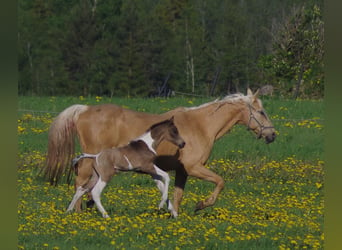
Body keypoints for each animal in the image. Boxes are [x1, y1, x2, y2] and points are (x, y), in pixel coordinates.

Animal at [42, 89, 276, 215]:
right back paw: (79, 212)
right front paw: (201, 205)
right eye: (261, 112)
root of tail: (84, 109)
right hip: (91, 160)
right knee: (81, 183)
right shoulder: (194, 168)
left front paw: (174, 215)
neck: (200, 125)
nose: (272, 135)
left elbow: (177, 195)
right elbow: (220, 182)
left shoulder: (182, 171)